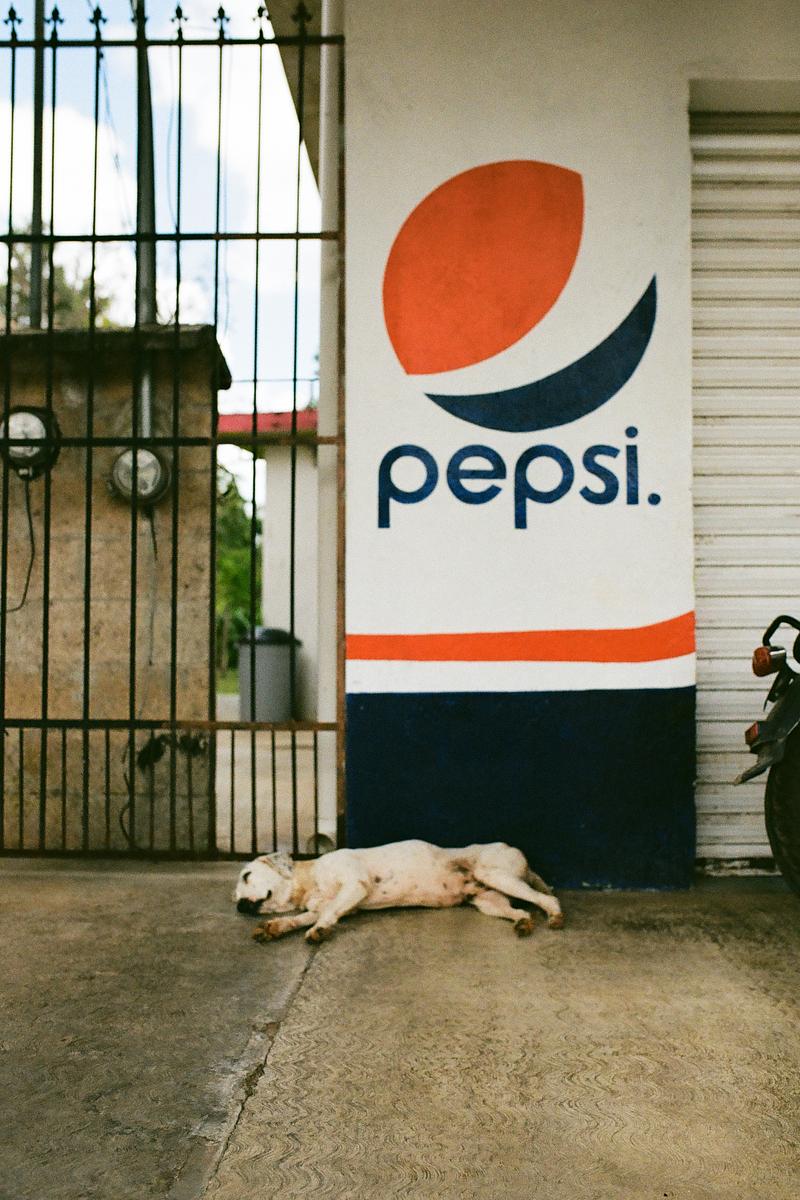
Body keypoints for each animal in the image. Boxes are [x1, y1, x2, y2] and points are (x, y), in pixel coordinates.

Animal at [234, 839, 564, 943]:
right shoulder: (333, 905)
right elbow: (300, 918)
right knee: (519, 910)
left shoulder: (354, 885)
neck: (310, 879)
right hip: (488, 901)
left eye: (247, 875)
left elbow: (326, 914)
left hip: (494, 874)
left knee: (547, 898)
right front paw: (275, 927)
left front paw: (319, 930)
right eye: (234, 897)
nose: (239, 906)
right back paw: (523, 923)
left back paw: (555, 915)